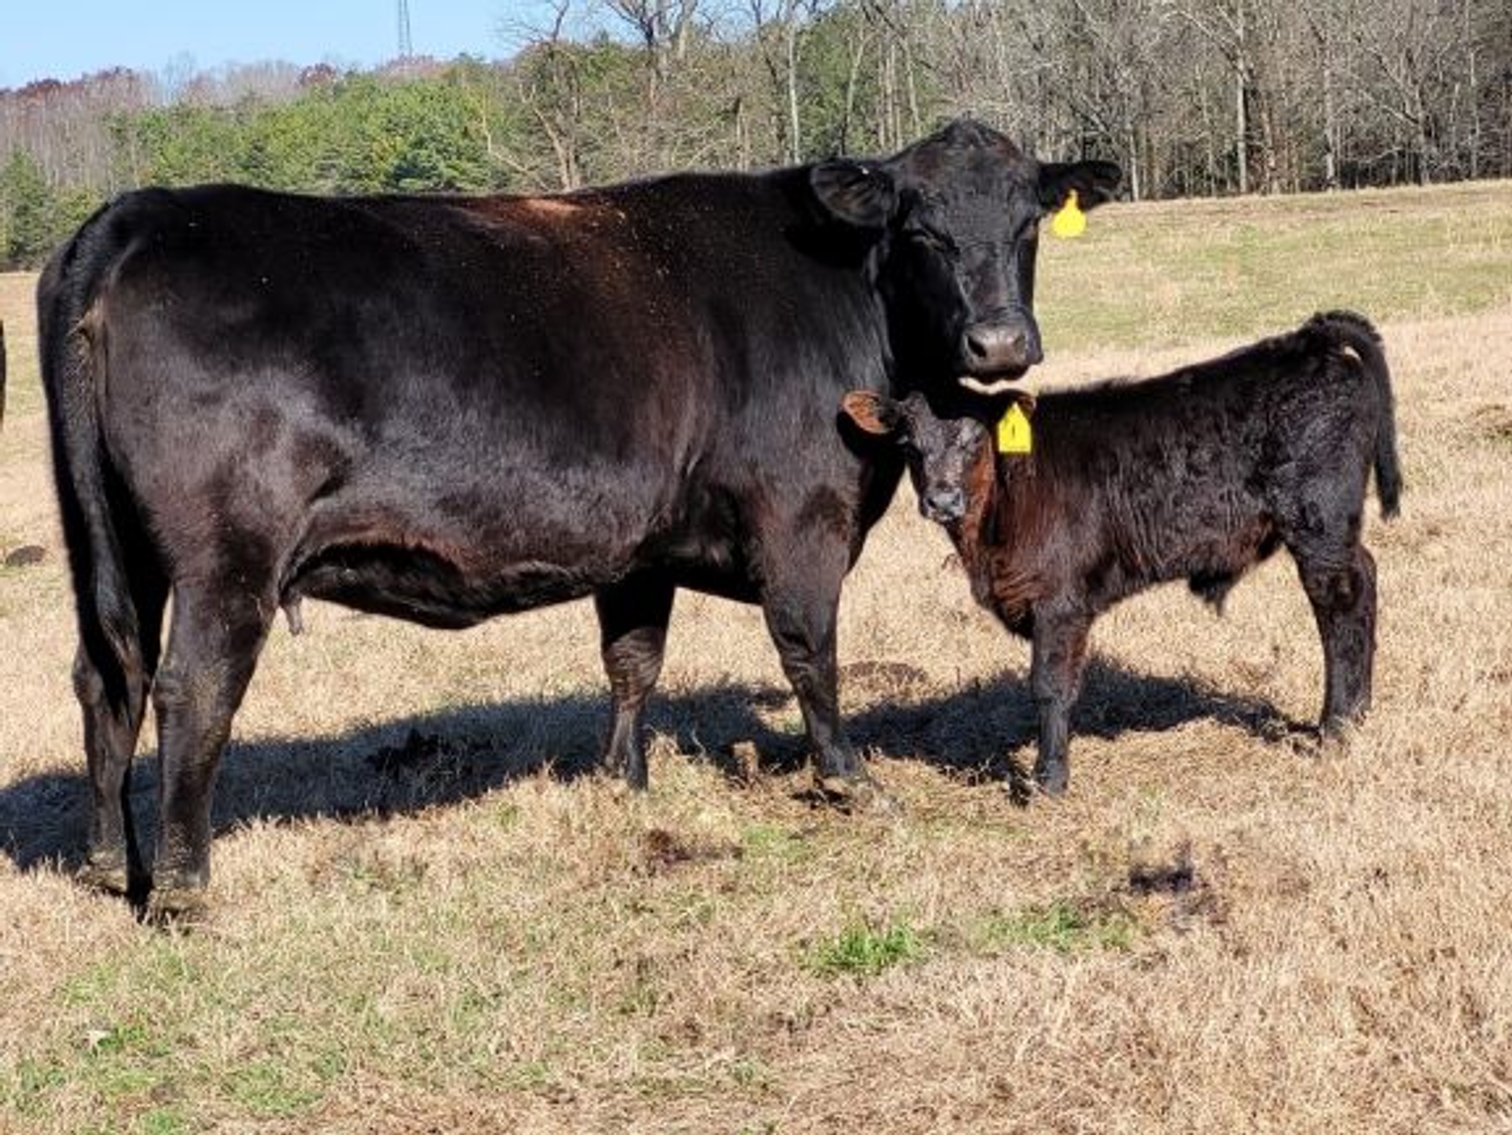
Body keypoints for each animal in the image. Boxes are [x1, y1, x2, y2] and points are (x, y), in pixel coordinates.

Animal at [38, 119, 1120, 913]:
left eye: (1027, 224)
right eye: (921, 231)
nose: (1000, 343)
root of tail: (132, 217)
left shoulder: (639, 545)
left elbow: (633, 660)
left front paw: (623, 781)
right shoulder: (804, 517)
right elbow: (809, 651)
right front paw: (851, 779)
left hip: (111, 542)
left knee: (106, 675)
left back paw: (111, 863)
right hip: (226, 553)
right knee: (191, 688)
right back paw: (183, 887)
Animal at [841, 311, 1401, 795]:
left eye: (974, 437)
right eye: (908, 444)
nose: (941, 499)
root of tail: (1310, 340)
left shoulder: (1060, 602)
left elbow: (1050, 685)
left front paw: (1048, 780)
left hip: (1318, 523)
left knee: (1340, 601)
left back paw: (1337, 727)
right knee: (1366, 578)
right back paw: (1359, 714)